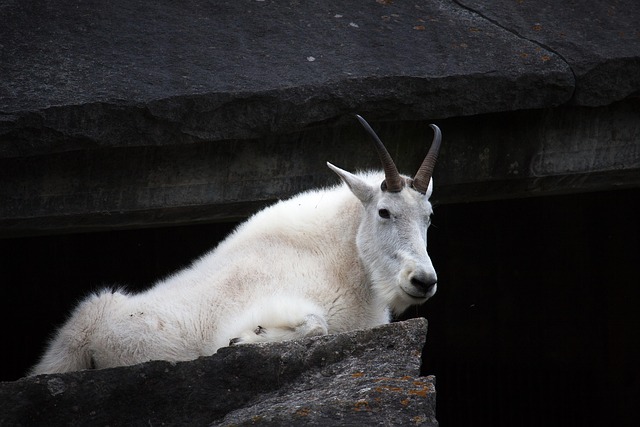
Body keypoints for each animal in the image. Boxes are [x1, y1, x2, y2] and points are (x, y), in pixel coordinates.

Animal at [29, 115, 441, 375]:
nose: (423, 281)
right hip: (72, 343)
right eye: (384, 211)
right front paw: (244, 340)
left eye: (429, 216)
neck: (343, 265)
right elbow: (315, 325)